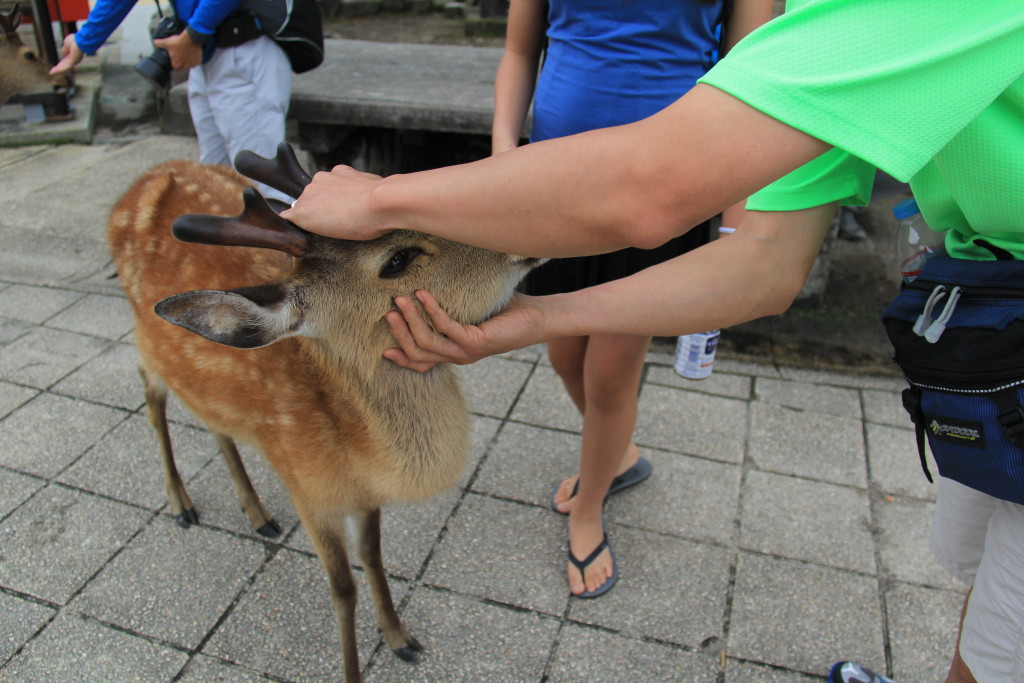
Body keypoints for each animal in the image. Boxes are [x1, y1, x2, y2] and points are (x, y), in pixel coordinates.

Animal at [105, 141, 544, 679]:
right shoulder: (306, 488)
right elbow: (342, 588)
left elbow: (373, 556)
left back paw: (257, 513)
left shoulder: (366, 496)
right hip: (142, 341)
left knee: (215, 421)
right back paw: (182, 503)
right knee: (153, 397)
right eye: (397, 259)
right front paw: (357, 667)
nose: (521, 226)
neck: (355, 450)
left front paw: (400, 637)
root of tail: (145, 178)